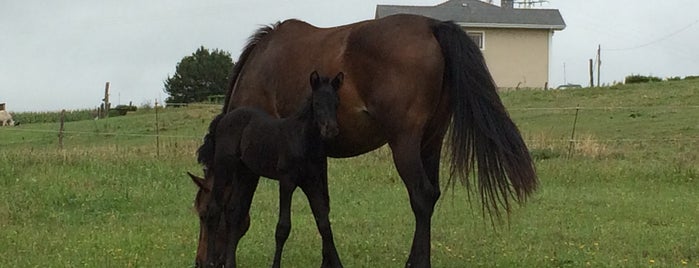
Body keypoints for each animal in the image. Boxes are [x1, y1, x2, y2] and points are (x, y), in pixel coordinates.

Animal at [194, 13, 540, 268]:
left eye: (203, 214)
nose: (202, 263)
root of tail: (432, 25)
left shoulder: (255, 166)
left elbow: (239, 210)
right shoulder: (314, 161)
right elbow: (322, 210)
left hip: (404, 144)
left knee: (422, 196)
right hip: (431, 142)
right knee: (432, 195)